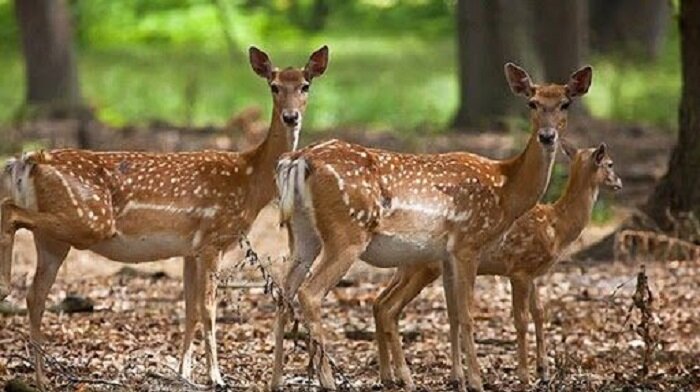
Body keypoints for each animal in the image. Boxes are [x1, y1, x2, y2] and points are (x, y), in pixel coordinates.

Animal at [0, 45, 330, 388]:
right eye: (274, 86)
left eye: (305, 85)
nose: (291, 116)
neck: (251, 180)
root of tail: (28, 161)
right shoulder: (213, 238)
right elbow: (208, 309)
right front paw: (216, 377)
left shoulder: (189, 250)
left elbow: (190, 310)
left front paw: (184, 373)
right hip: (88, 219)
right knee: (10, 211)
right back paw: (4, 288)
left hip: (54, 239)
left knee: (35, 295)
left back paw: (40, 379)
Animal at [270, 62, 592, 390]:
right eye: (532, 103)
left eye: (565, 103)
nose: (547, 136)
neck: (505, 190)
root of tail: (298, 159)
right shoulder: (468, 243)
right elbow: (467, 314)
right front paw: (477, 381)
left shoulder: (446, 255)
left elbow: (453, 314)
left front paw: (459, 379)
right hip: (347, 233)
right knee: (310, 293)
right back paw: (328, 381)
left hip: (303, 233)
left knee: (283, 289)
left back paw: (276, 379)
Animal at [374, 141, 620, 388]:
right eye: (609, 163)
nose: (619, 182)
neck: (556, 227)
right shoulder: (520, 269)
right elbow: (521, 320)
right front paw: (525, 376)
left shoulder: (531, 272)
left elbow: (539, 312)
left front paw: (543, 371)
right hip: (424, 266)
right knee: (390, 307)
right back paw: (404, 377)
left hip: (414, 268)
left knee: (381, 303)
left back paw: (396, 376)